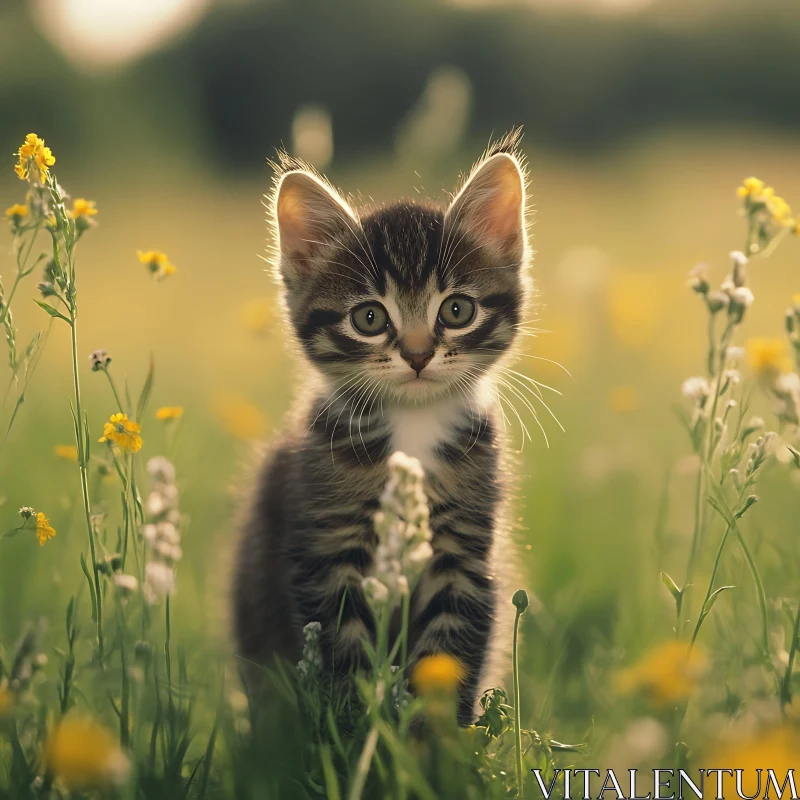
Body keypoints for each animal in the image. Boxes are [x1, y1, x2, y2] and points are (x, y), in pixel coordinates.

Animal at [231, 133, 532, 724]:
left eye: (456, 310)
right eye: (369, 318)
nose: (416, 355)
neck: (412, 428)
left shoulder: (464, 552)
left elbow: (448, 658)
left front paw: (433, 744)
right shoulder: (327, 547)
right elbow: (343, 658)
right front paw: (355, 738)